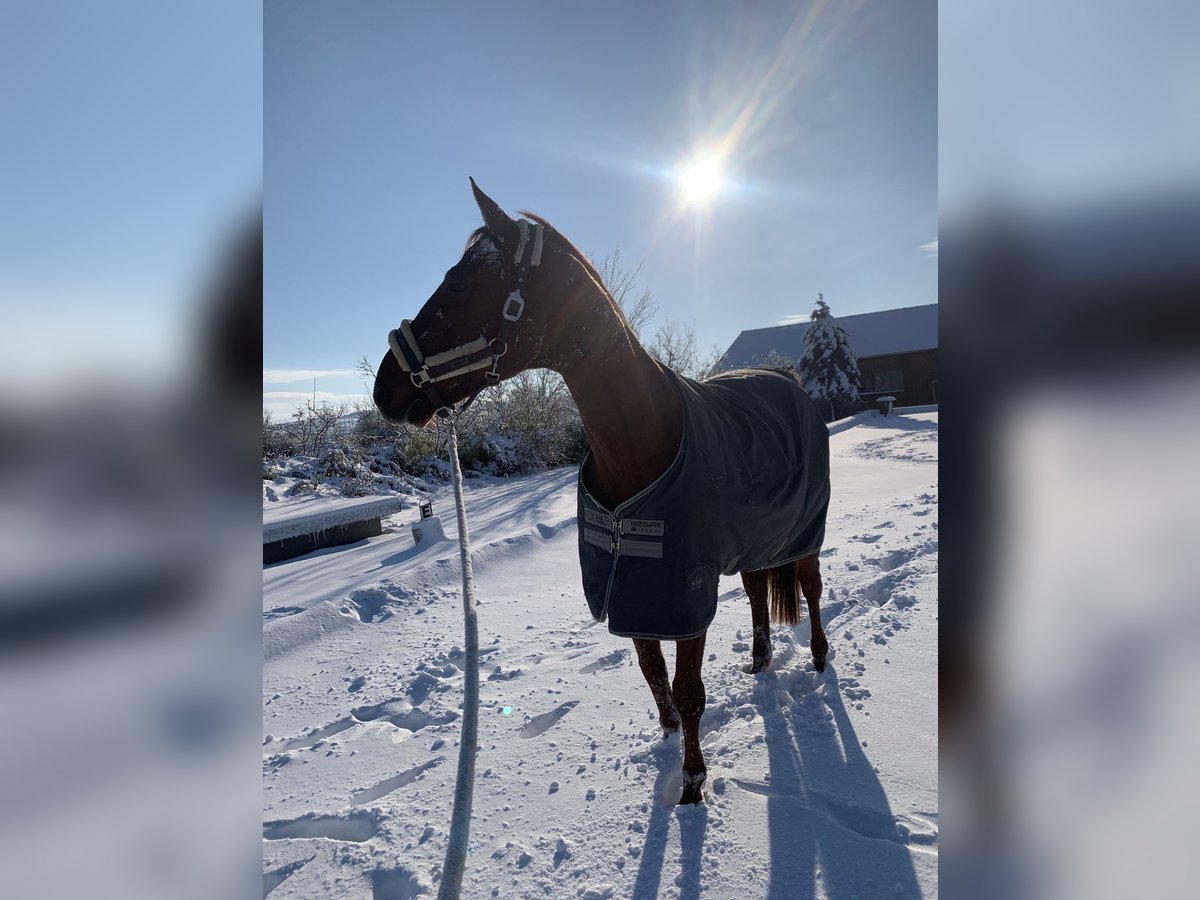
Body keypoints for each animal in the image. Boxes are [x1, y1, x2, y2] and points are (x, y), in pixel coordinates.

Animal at [369, 180, 830, 806]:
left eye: (460, 281)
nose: (384, 389)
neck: (645, 443)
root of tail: (791, 384)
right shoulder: (634, 589)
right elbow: (655, 678)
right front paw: (668, 752)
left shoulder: (683, 595)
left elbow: (688, 690)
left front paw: (691, 788)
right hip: (755, 539)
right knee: (760, 592)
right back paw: (759, 664)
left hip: (805, 533)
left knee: (810, 587)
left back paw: (821, 662)